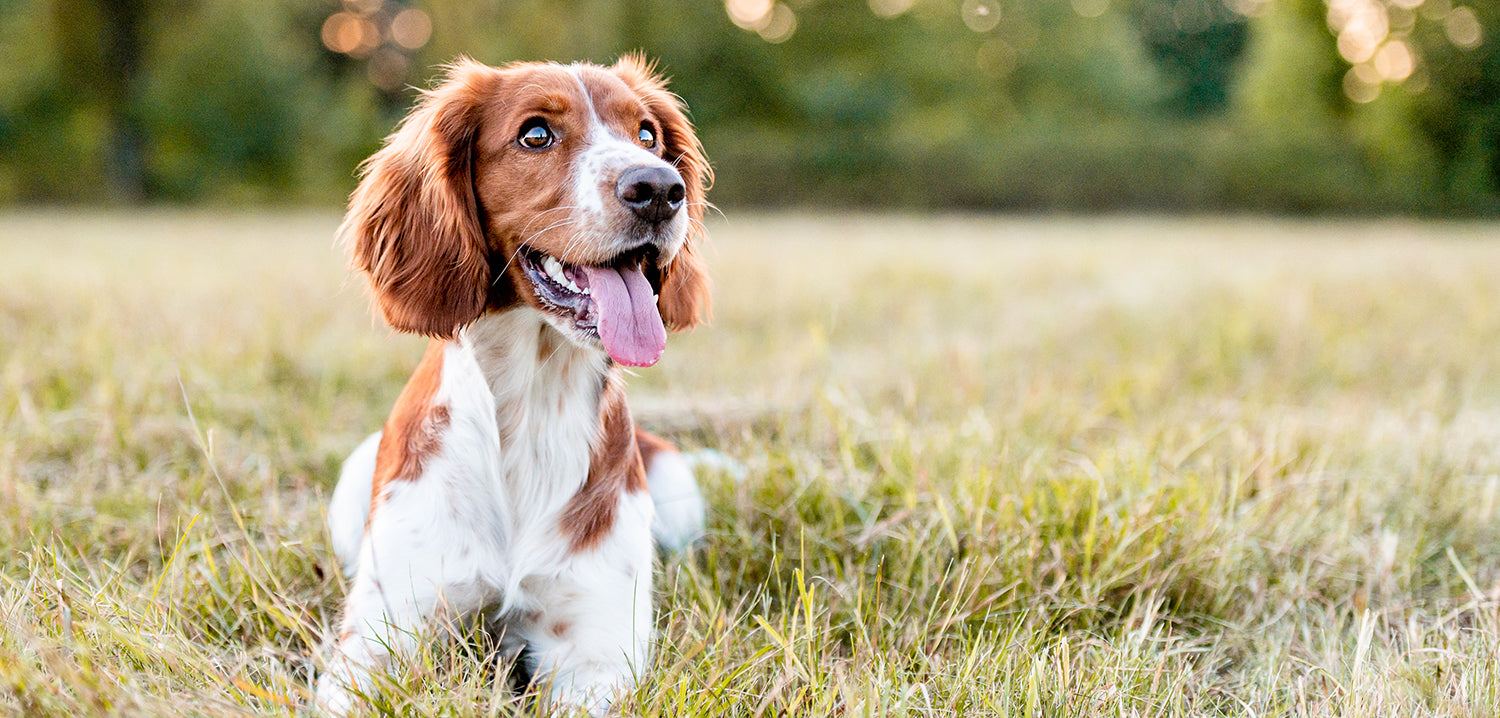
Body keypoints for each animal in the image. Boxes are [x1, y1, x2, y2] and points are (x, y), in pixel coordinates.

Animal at [315, 57, 708, 718]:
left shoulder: (595, 654)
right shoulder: (376, 641)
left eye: (647, 135)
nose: (659, 188)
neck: (535, 405)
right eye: (535, 134)